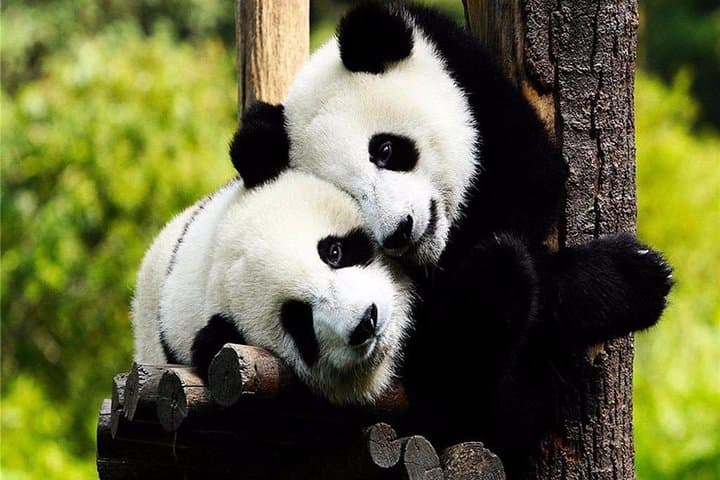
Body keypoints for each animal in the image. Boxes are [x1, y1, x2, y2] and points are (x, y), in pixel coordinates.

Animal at [228, 2, 673, 474]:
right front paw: (632, 278)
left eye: (385, 150)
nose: (400, 231)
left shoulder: (479, 94)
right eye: (350, 198)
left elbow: (533, 184)